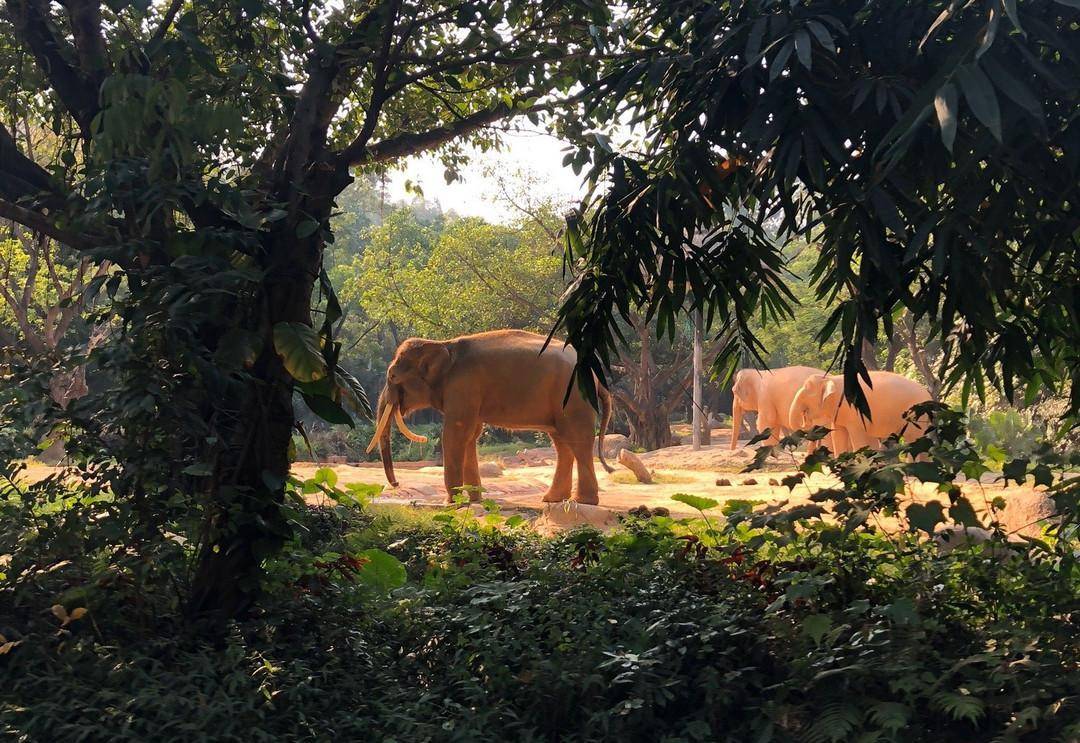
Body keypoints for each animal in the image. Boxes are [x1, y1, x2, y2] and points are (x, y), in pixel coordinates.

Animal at [367, 330, 613, 505]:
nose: (396, 483)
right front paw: (474, 499)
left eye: (392, 376)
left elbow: (455, 433)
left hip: (575, 399)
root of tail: (597, 378)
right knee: (562, 443)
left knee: (578, 440)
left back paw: (583, 501)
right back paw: (552, 499)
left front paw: (452, 502)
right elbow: (470, 435)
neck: (442, 344)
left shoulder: (462, 386)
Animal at [790, 371, 933, 453]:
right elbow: (838, 435)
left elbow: (858, 438)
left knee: (914, 439)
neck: (831, 379)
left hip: (916, 416)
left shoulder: (855, 412)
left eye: (806, 393)